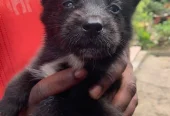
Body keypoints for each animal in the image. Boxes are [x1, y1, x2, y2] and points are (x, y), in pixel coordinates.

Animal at [0, 0, 139, 115]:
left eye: (115, 8)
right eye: (68, 3)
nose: (93, 26)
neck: (73, 59)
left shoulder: (85, 98)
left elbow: (53, 103)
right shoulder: (40, 65)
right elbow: (18, 83)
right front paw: (5, 107)